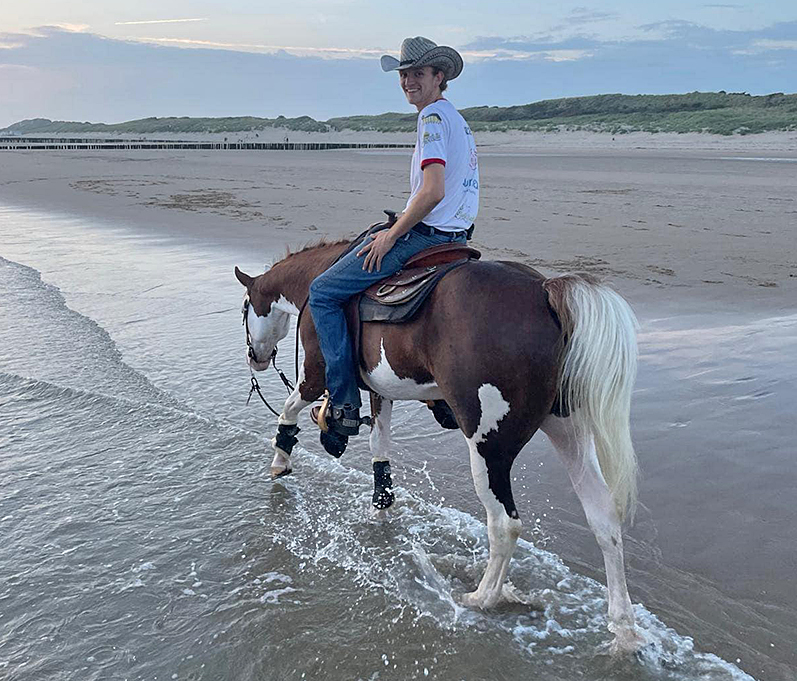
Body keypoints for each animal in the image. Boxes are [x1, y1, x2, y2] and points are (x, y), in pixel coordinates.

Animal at [233, 236, 644, 652]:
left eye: (245, 307)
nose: (255, 357)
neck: (316, 280)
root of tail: (543, 291)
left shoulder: (316, 375)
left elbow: (289, 409)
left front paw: (281, 458)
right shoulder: (382, 392)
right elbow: (380, 447)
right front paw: (380, 509)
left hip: (488, 448)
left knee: (504, 525)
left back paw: (481, 597)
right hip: (568, 431)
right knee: (603, 518)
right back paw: (622, 626)